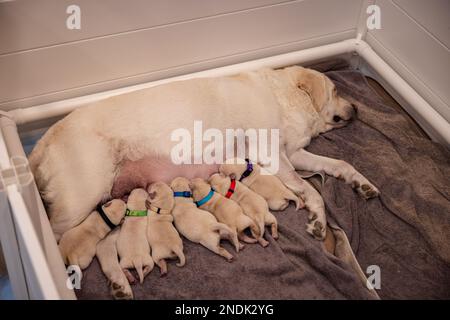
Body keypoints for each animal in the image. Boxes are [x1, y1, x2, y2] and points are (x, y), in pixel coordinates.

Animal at [29, 65, 380, 240]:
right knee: (55, 236)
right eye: (335, 90)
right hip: (81, 197)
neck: (281, 96)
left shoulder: (292, 155)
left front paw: (362, 184)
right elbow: (312, 190)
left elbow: (339, 164)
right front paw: (319, 220)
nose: (357, 108)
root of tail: (40, 144)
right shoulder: (275, 156)